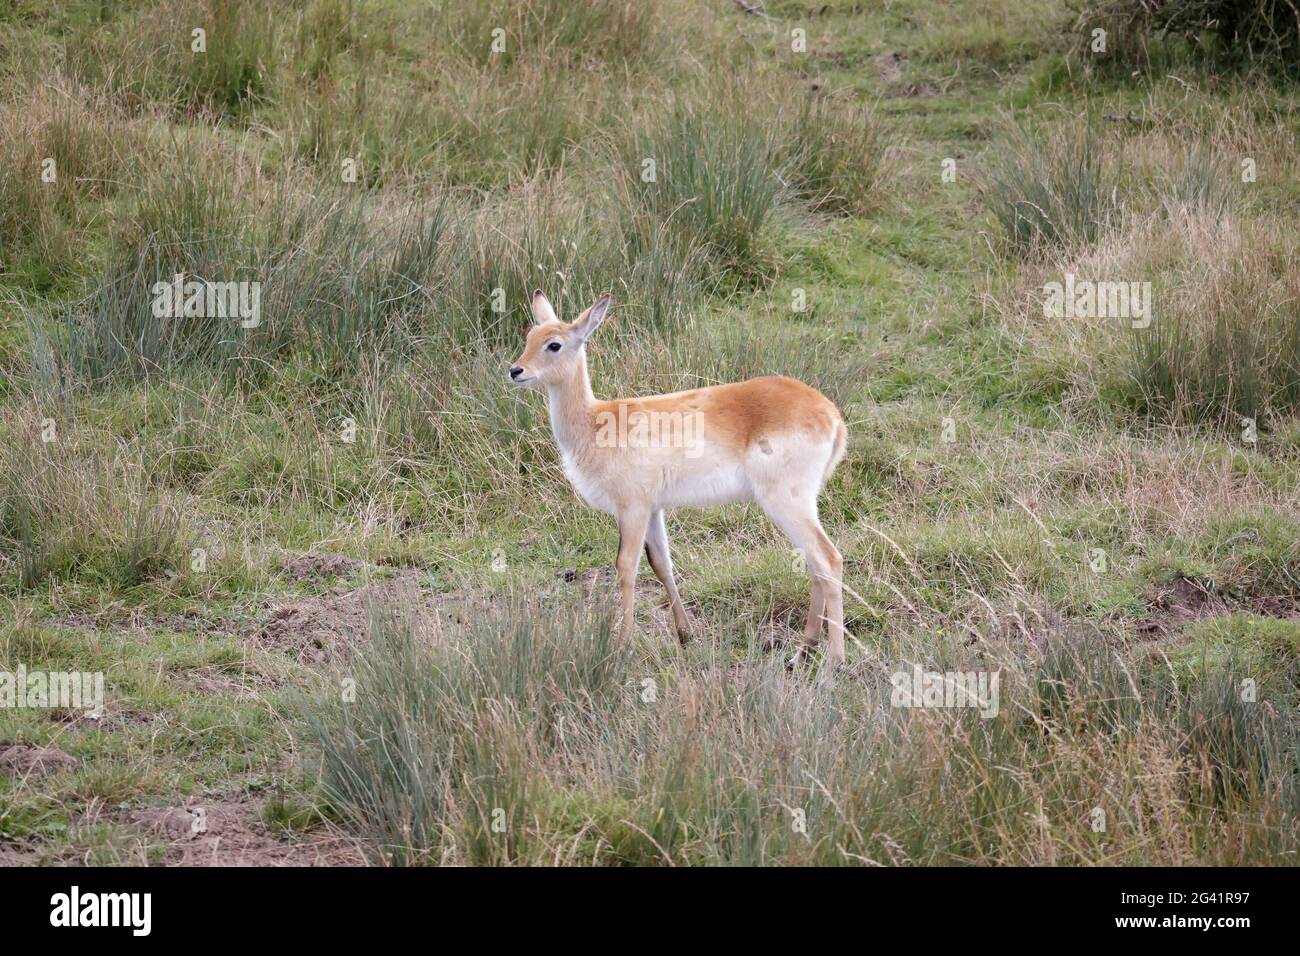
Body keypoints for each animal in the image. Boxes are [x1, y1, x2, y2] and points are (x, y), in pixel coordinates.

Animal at [506, 290, 852, 665]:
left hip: (786, 501)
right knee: (815, 563)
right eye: (529, 337)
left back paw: (835, 659)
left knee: (829, 559)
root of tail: (830, 413)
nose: (515, 370)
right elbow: (662, 564)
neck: (595, 423)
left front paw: (623, 644)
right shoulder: (654, 508)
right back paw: (803, 650)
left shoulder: (632, 507)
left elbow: (626, 567)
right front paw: (685, 634)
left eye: (554, 344)